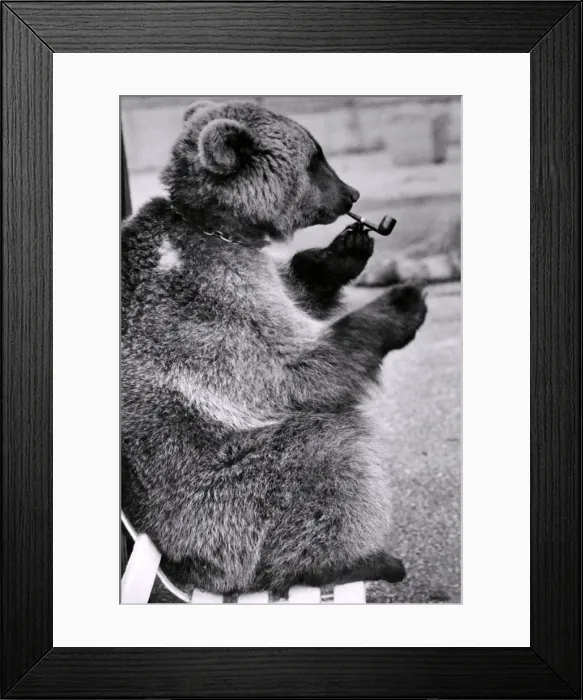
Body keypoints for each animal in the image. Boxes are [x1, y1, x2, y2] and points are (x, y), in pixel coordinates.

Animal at [121, 99, 427, 596]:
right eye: (316, 160)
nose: (353, 194)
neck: (220, 228)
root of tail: (183, 566)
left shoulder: (256, 273)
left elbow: (298, 290)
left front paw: (343, 251)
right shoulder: (208, 296)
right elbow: (292, 370)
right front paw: (400, 304)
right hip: (223, 499)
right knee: (329, 457)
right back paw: (354, 561)